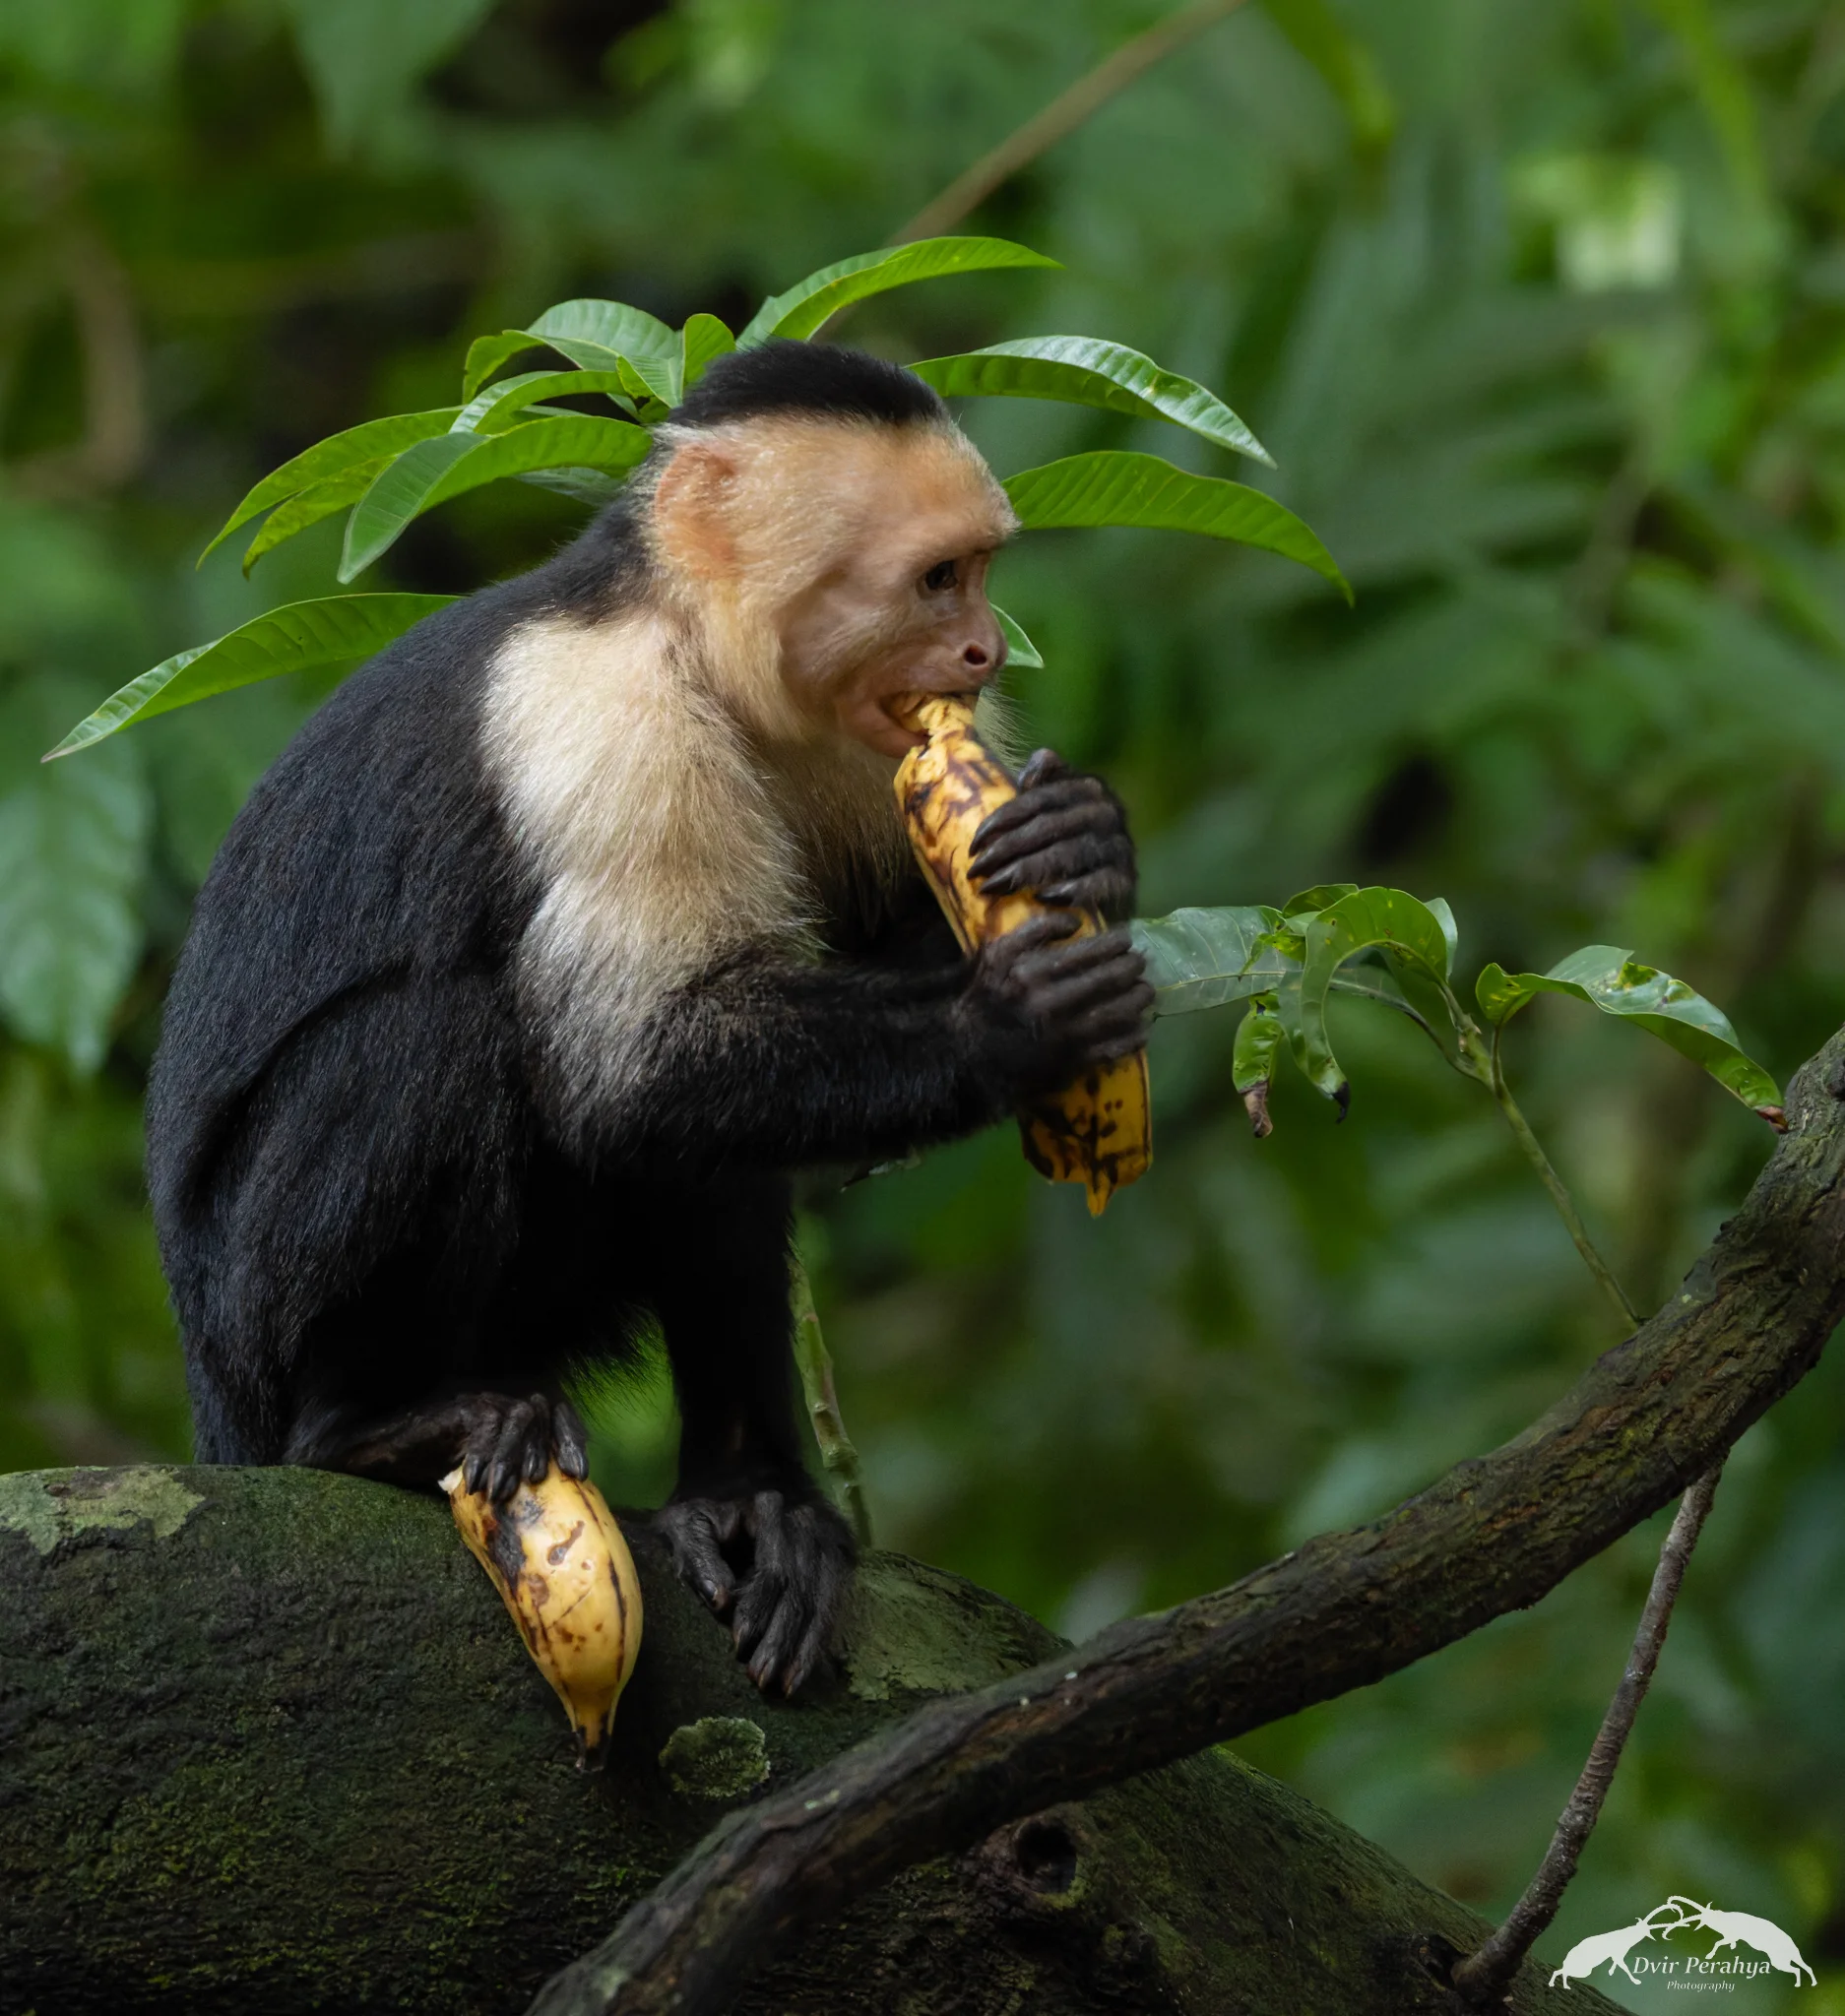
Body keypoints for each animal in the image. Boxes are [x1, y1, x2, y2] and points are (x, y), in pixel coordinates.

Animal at [147, 340, 1151, 1695]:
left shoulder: (866, 737)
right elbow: (623, 1068)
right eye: (937, 580)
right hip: (251, 1333)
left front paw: (1085, 838)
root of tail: (212, 1402)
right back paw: (369, 1426)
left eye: (981, 570)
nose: (985, 654)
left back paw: (748, 1494)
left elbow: (821, 969)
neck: (684, 638)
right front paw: (1006, 1020)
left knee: (716, 1153)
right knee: (442, 1036)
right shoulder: (599, 718)